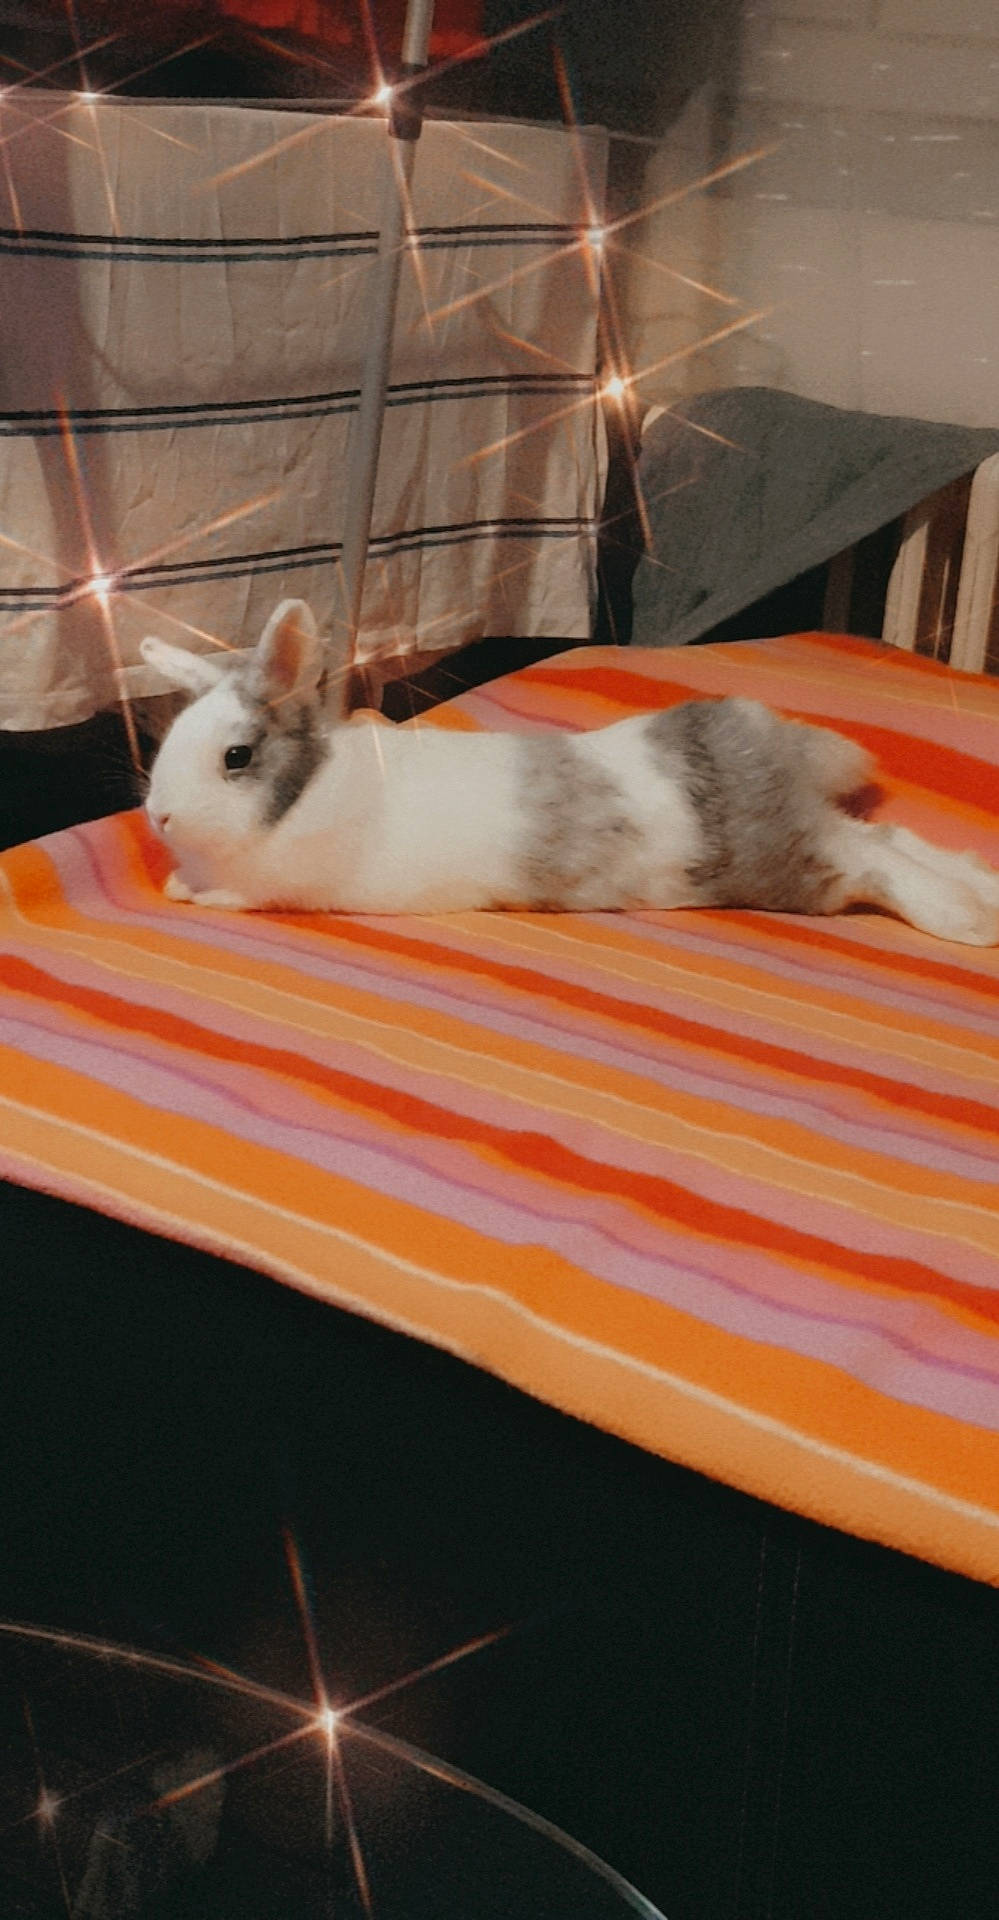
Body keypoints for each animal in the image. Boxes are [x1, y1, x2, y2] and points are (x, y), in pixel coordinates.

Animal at [139, 598, 999, 944]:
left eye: (236, 757)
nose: (159, 817)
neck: (301, 792)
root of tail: (769, 748)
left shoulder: (272, 889)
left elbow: (224, 897)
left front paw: (182, 889)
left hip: (779, 867)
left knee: (864, 859)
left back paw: (963, 922)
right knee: (887, 836)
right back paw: (980, 892)